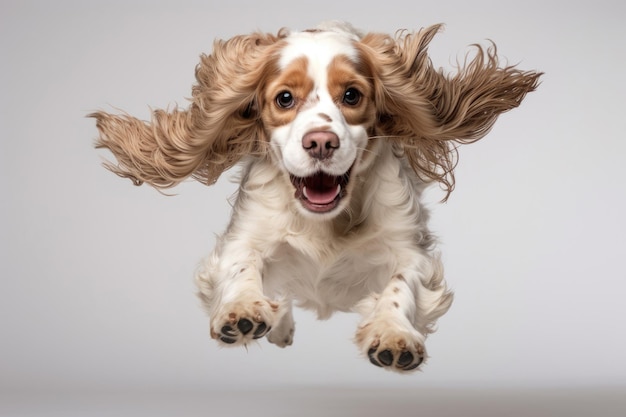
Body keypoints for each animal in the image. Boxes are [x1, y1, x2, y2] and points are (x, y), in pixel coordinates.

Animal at [90, 21, 540, 370]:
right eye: (285, 98)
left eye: (352, 95)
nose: (321, 142)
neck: (325, 222)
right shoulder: (245, 236)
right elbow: (242, 268)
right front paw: (242, 311)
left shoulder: (409, 249)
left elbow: (400, 286)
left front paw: (393, 334)